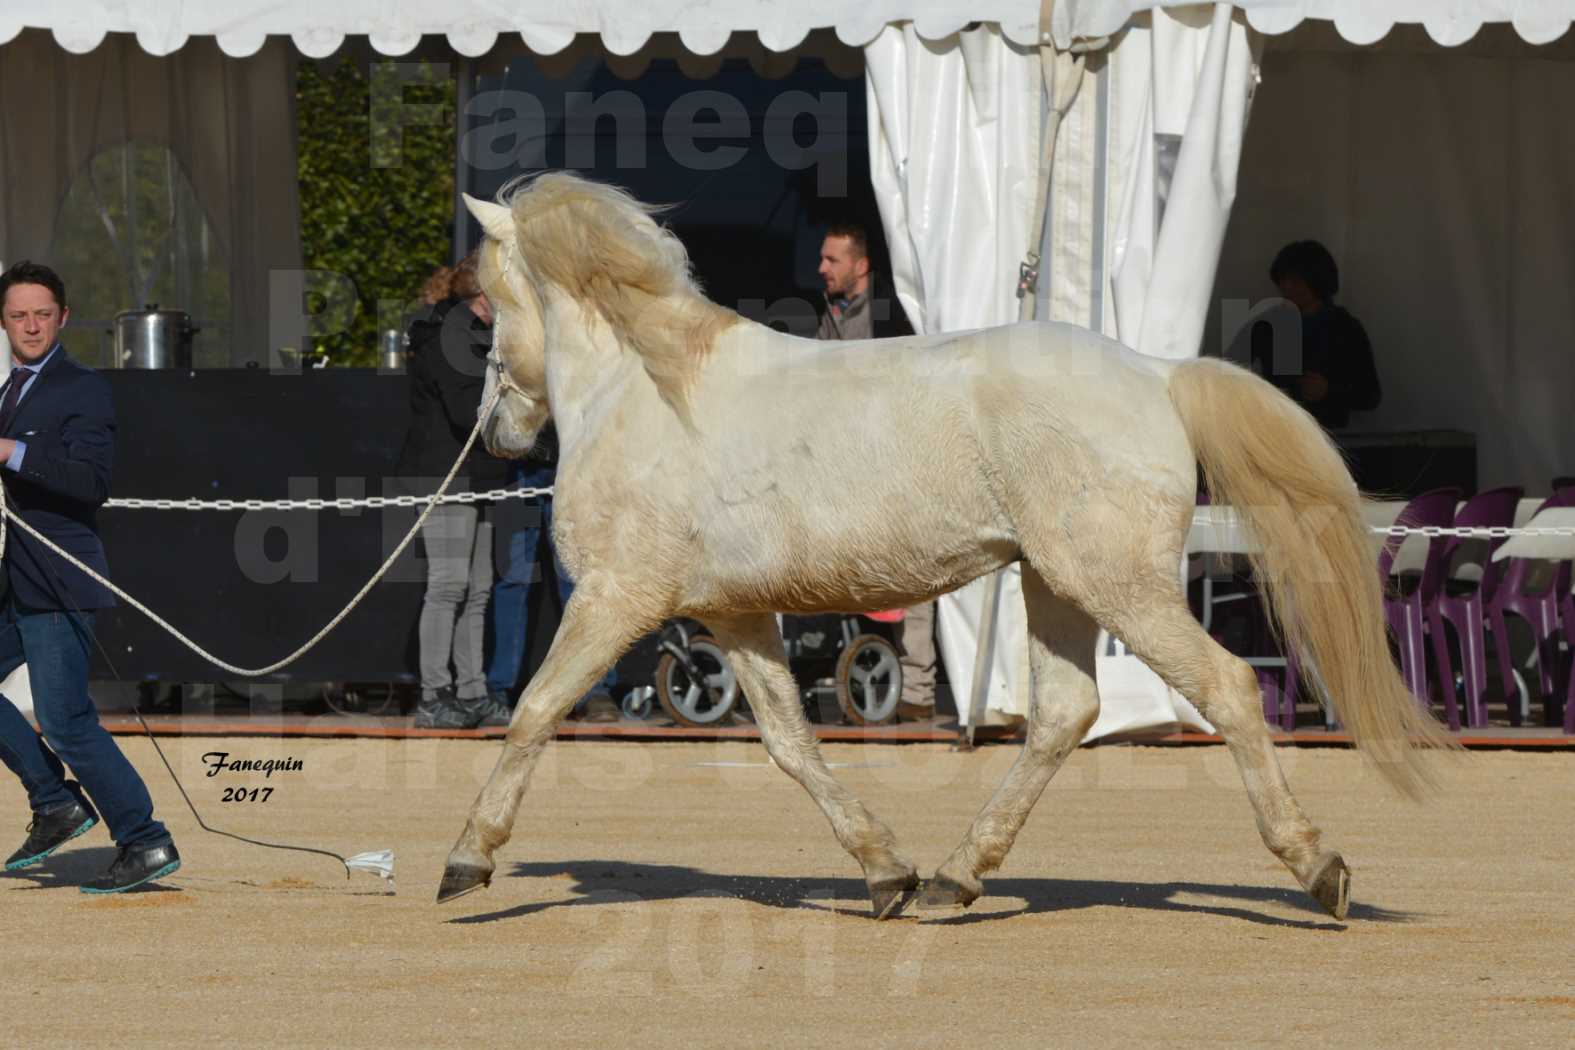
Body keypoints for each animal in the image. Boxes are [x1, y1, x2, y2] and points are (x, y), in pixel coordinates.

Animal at [444, 170, 1449, 919]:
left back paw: (1318, 869)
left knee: (1228, 687)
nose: (497, 431)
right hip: (1054, 584)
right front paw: (885, 871)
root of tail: (1158, 373)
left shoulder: (616, 598)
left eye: (488, 298)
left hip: (1117, 585)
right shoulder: (733, 618)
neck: (646, 390)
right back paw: (954, 878)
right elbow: (790, 744)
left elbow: (535, 709)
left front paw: (467, 860)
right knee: (1065, 714)